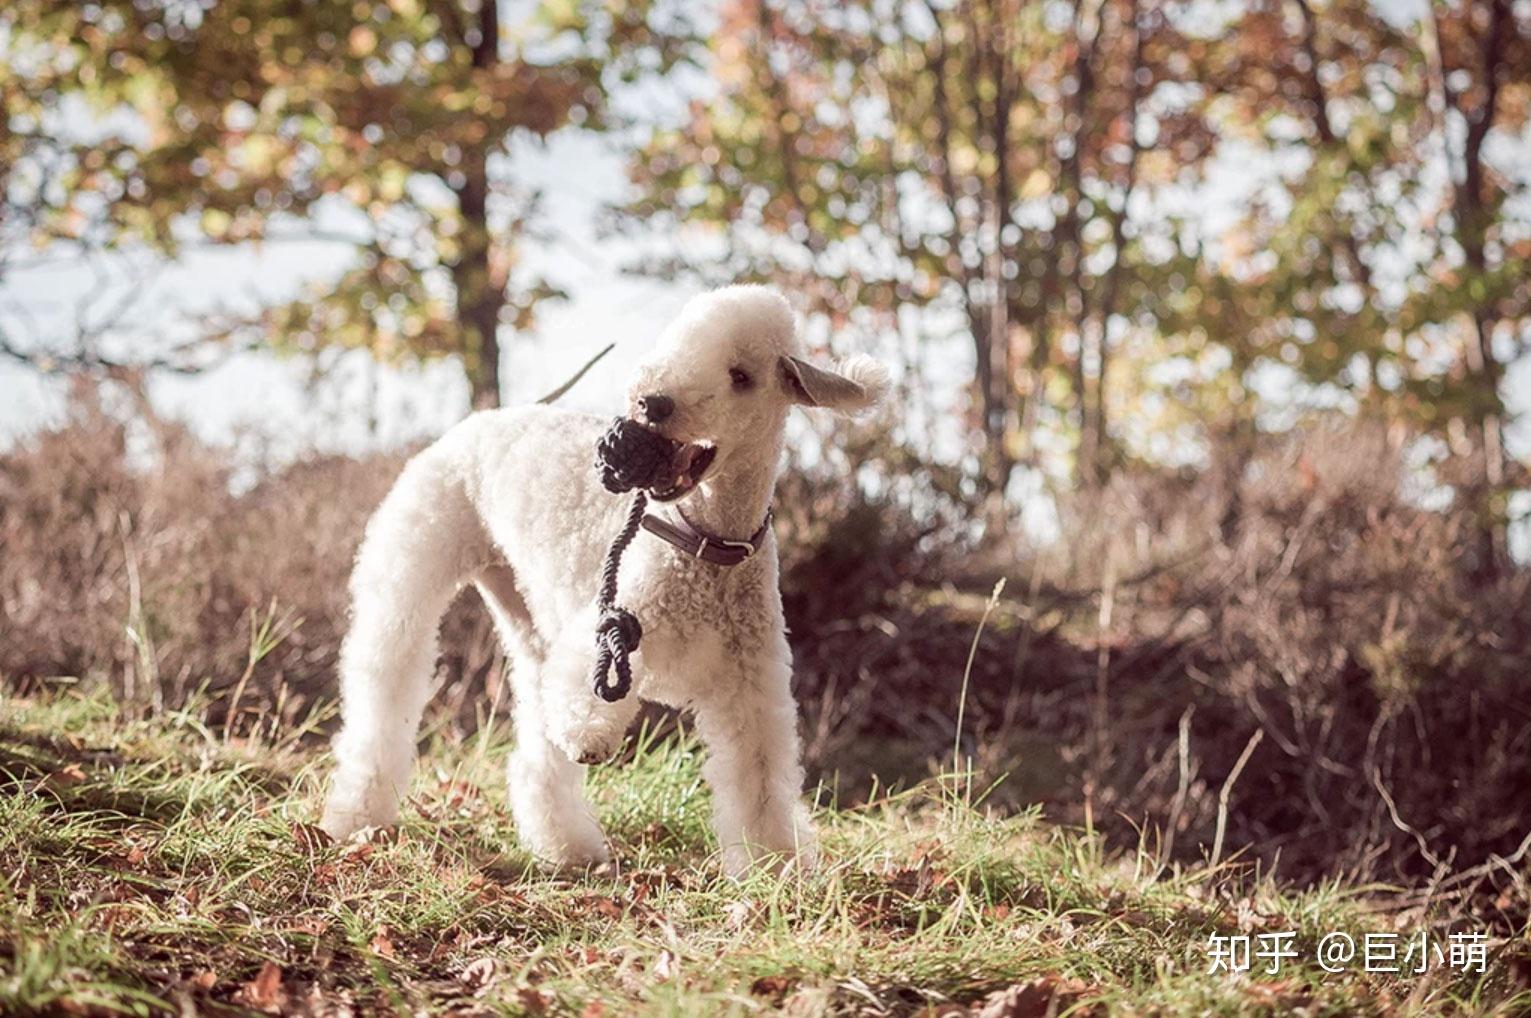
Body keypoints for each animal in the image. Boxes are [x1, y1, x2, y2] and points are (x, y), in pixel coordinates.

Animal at [319, 286, 887, 875]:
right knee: (383, 695)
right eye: (674, 342)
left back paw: (566, 848)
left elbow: (759, 780)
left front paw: (776, 866)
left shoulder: (751, 687)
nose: (652, 402)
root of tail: (483, 418)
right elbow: (584, 696)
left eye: (741, 376)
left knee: (535, 747)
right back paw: (355, 819)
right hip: (409, 577)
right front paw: (589, 734)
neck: (702, 543)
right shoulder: (609, 629)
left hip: (527, 621)